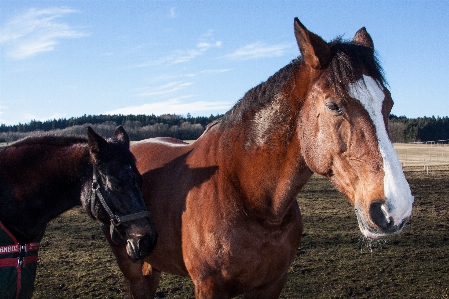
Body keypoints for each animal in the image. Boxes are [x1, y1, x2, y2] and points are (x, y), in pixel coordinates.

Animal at [105, 19, 412, 299]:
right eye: (333, 105)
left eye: (388, 104)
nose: (395, 209)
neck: (247, 195)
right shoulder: (208, 288)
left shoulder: (271, 284)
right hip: (134, 270)